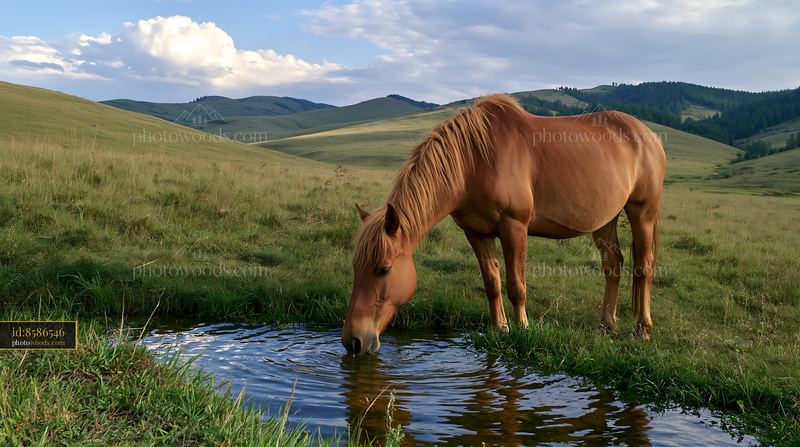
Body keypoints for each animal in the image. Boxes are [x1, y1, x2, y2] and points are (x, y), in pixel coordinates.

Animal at [343, 94, 665, 354]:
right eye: (355, 266)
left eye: (384, 269)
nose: (353, 341)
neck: (474, 161)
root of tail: (648, 135)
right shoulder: (476, 232)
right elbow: (492, 283)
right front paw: (499, 328)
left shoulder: (514, 227)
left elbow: (515, 286)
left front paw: (522, 328)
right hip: (606, 220)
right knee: (613, 264)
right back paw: (606, 325)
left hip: (642, 212)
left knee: (644, 266)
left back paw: (642, 330)